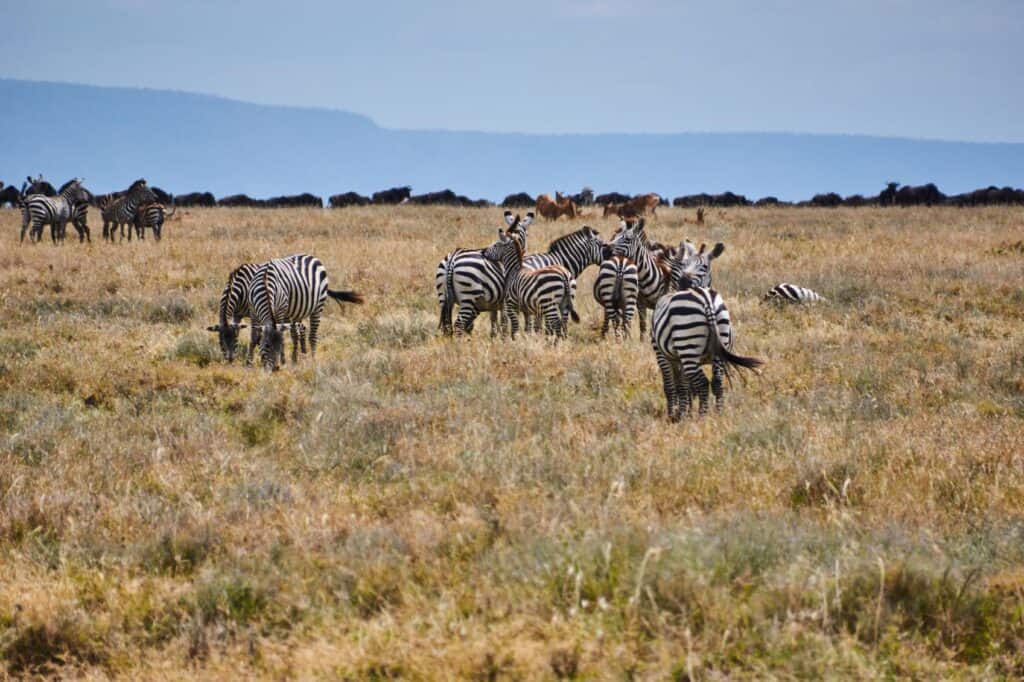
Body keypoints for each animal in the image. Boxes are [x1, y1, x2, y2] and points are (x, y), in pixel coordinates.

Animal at [651, 241, 765, 417]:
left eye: (704, 266)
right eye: (685, 265)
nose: (684, 282)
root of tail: (707, 299)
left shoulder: (661, 353)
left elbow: (673, 386)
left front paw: (676, 414)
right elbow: (685, 386)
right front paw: (685, 410)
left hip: (688, 347)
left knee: (703, 383)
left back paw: (702, 416)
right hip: (718, 346)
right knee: (717, 382)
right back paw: (718, 414)